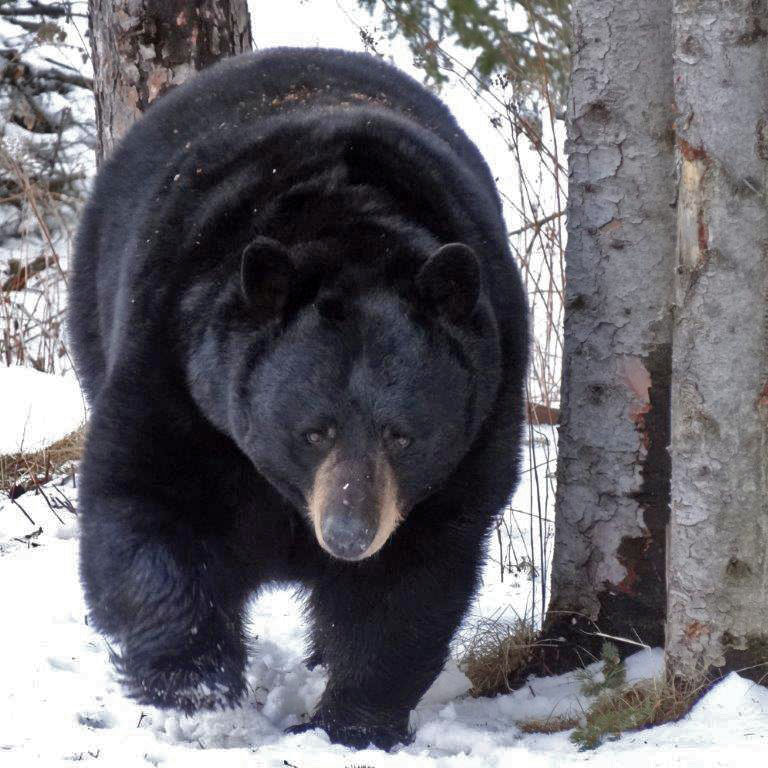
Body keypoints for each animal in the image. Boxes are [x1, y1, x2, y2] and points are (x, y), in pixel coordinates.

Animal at [69, 47, 528, 750]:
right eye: (314, 431)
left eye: (402, 434)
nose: (348, 534)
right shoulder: (177, 371)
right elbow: (146, 505)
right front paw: (201, 702)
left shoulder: (478, 430)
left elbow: (411, 580)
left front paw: (350, 723)